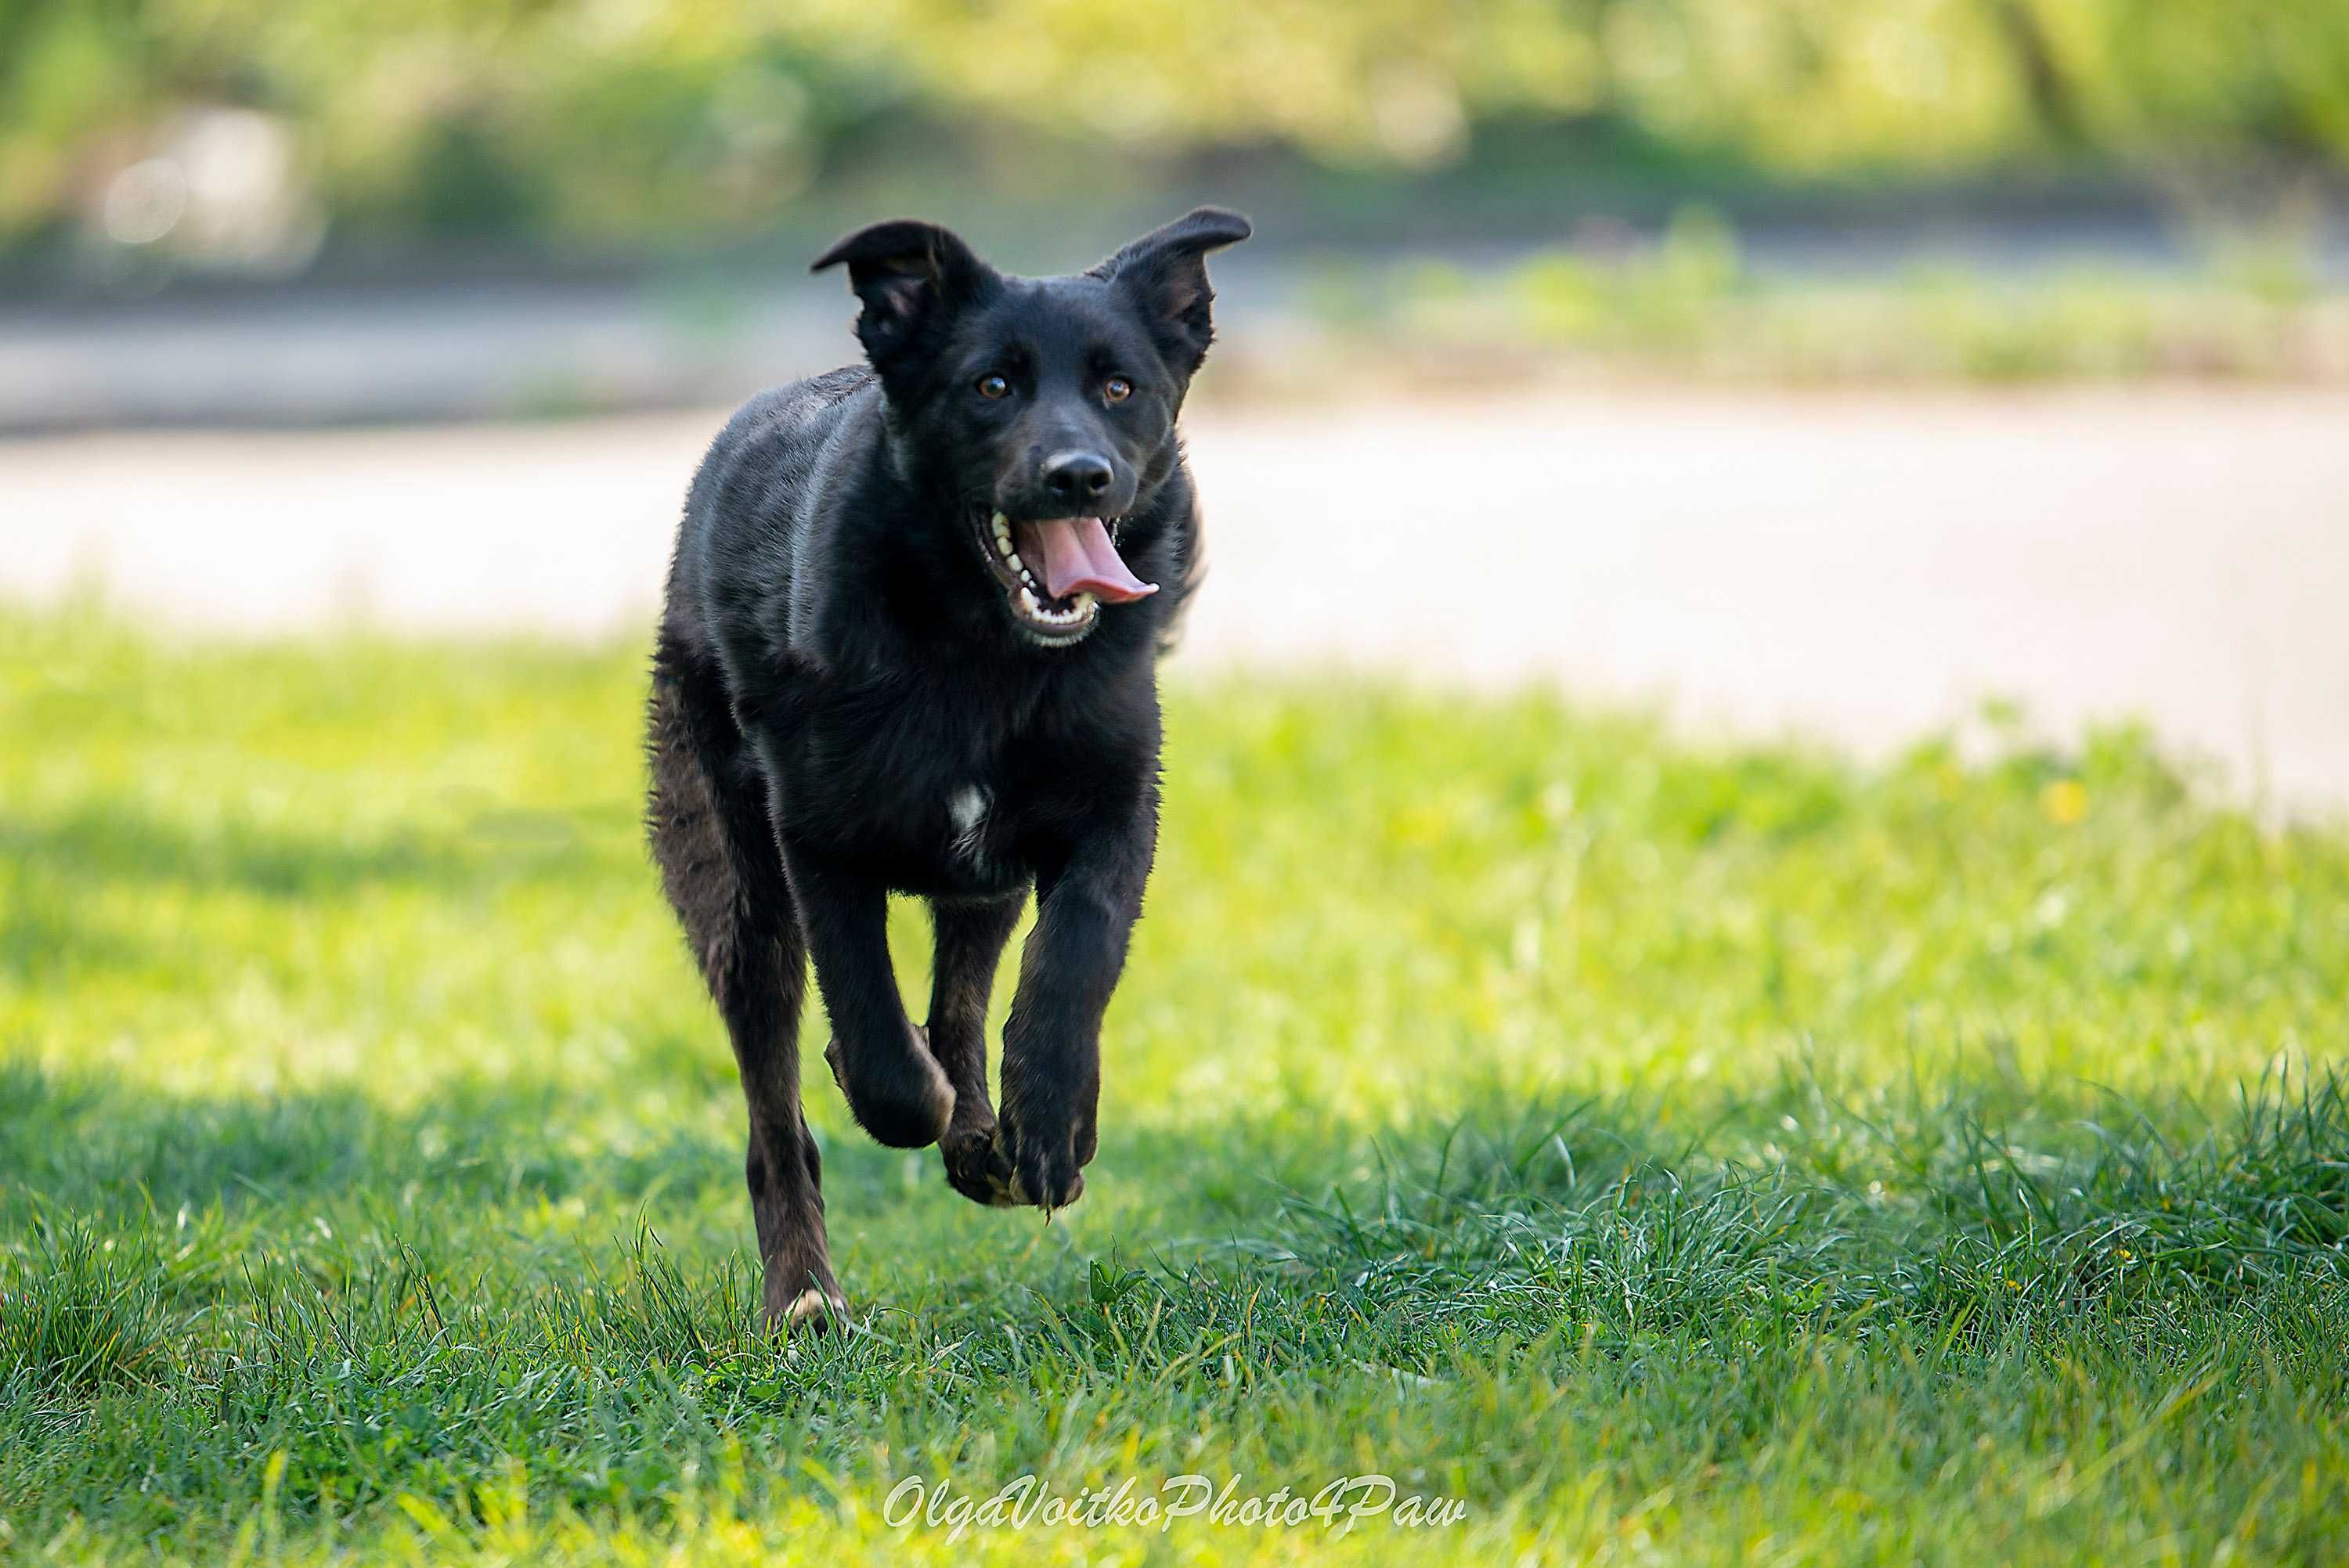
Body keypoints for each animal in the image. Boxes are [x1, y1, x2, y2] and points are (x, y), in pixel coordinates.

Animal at [644, 207, 1250, 1333]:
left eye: (1119, 387)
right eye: (991, 385)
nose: (1078, 476)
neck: (985, 659)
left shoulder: (1112, 812)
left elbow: (1072, 959)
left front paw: (1049, 1124)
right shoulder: (819, 838)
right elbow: (878, 1042)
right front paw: (899, 1089)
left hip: (984, 873)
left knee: (964, 999)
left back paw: (985, 1141)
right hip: (738, 893)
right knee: (776, 1114)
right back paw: (806, 1295)